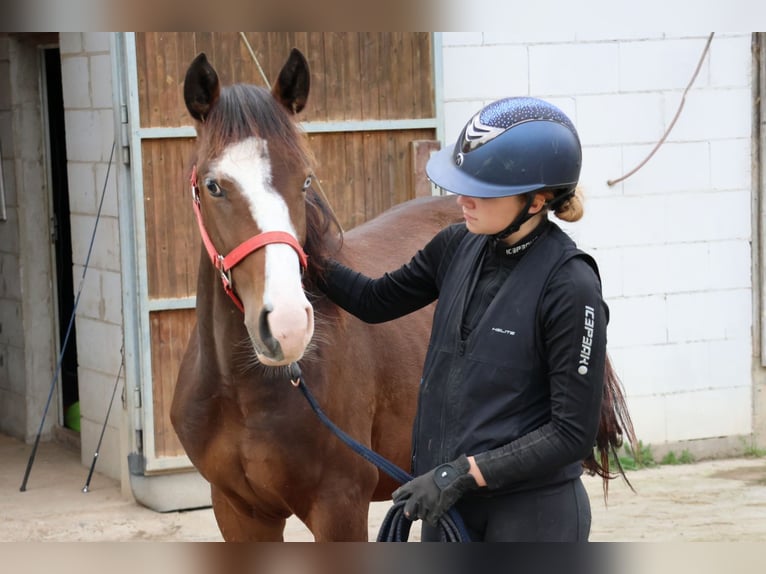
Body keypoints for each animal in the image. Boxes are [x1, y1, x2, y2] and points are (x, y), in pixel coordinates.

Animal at [170, 48, 463, 541]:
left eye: (306, 181)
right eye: (213, 186)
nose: (286, 326)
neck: (241, 392)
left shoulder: (340, 507)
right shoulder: (237, 511)